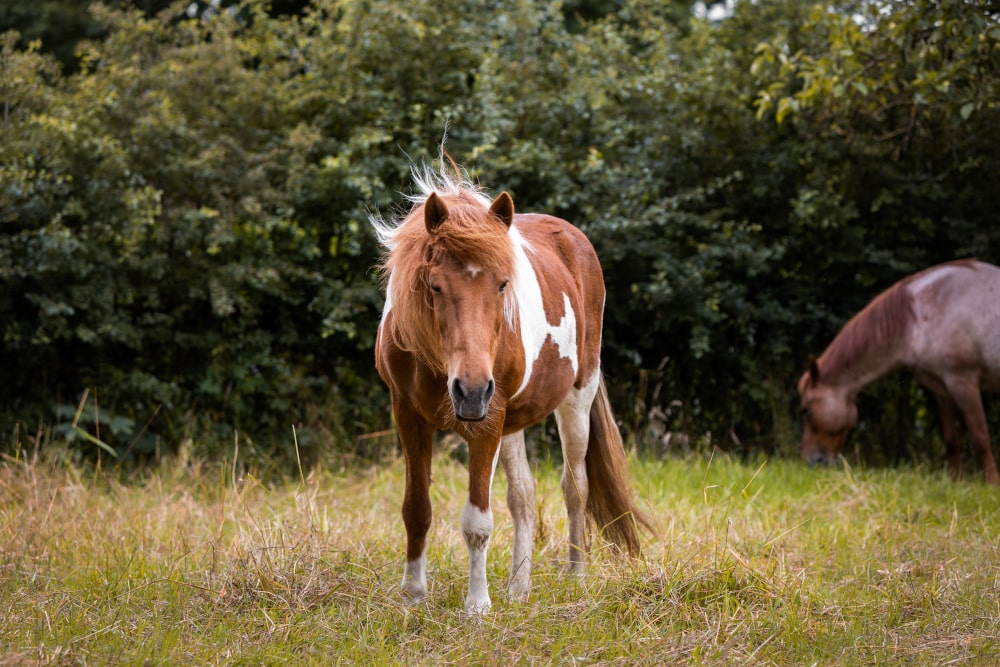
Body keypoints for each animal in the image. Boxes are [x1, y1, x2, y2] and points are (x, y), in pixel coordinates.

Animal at [372, 162, 652, 616]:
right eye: (435, 285)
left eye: (503, 284)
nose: (470, 391)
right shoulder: (409, 416)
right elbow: (417, 509)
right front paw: (413, 595)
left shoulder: (486, 421)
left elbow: (477, 522)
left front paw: (477, 606)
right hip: (509, 420)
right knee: (523, 496)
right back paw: (520, 586)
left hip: (575, 398)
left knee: (575, 488)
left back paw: (576, 576)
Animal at [796, 258, 1000, 486]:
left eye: (806, 410)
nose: (811, 461)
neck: (918, 316)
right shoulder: (943, 389)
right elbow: (952, 440)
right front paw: (954, 483)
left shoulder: (963, 382)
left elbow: (980, 437)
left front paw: (992, 484)